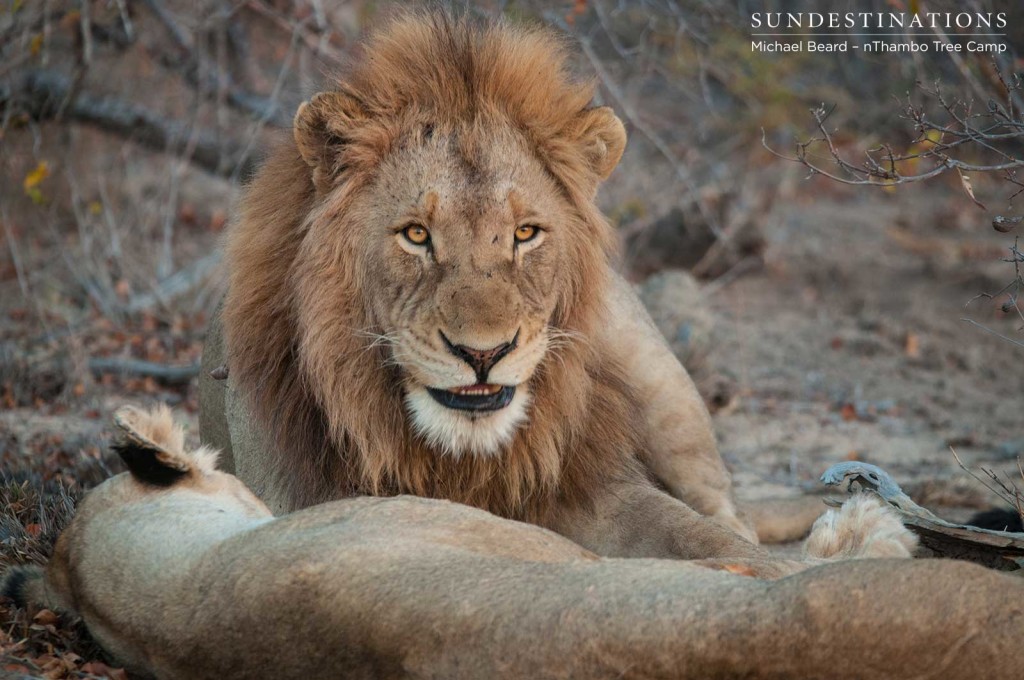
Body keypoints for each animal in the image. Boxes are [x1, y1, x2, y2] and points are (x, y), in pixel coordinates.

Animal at [199, 13, 880, 561]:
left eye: (525, 233)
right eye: (416, 235)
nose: (483, 354)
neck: (462, 458)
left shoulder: (600, 486)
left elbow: (706, 539)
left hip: (662, 383)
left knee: (729, 512)